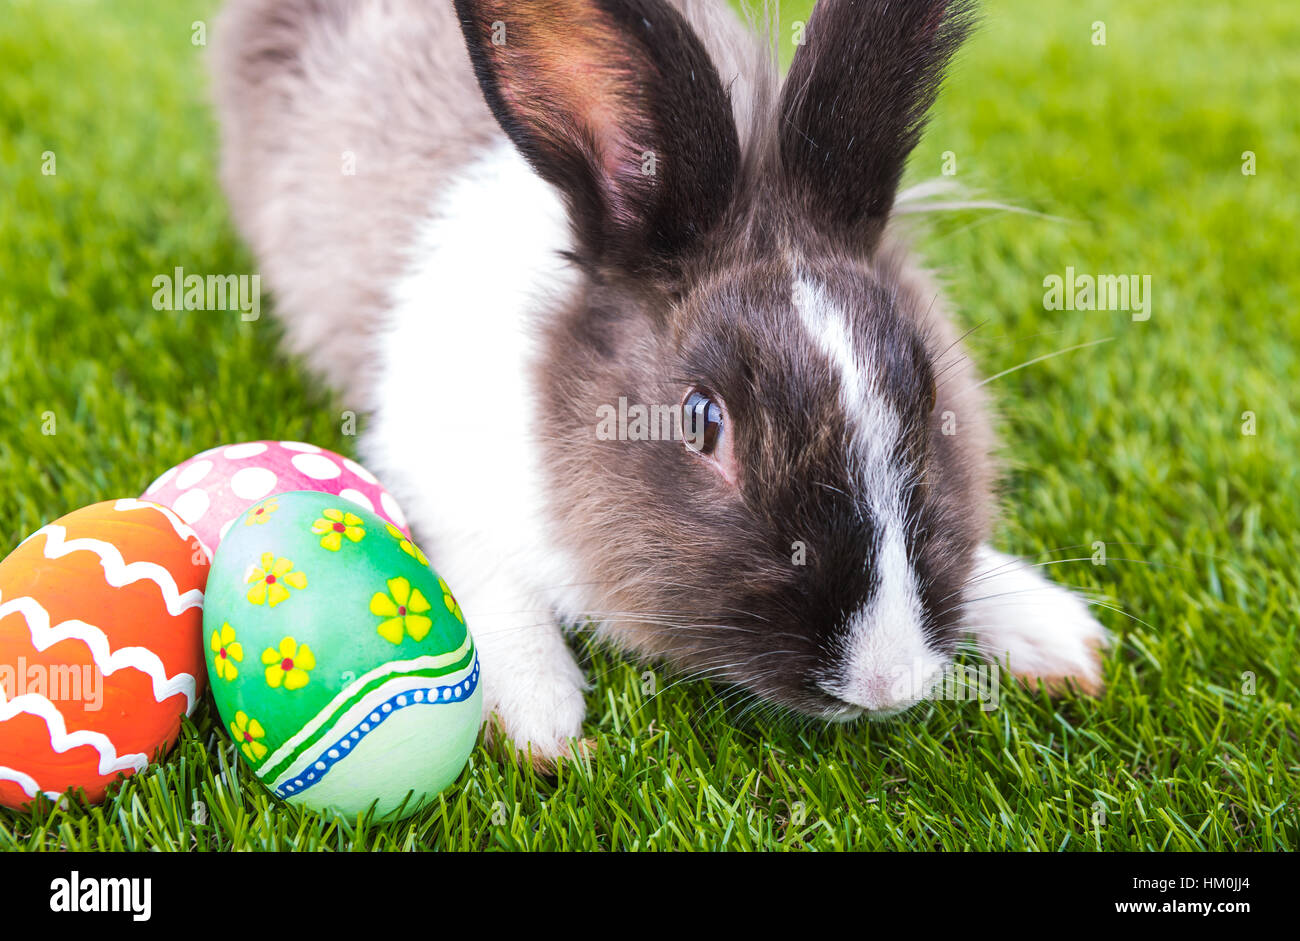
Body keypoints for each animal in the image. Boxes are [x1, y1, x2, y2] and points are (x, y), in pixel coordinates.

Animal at [213, 0, 1109, 765]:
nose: (886, 681)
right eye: (703, 423)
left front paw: (1060, 636)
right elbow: (482, 573)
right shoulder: (430, 462)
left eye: (926, 395)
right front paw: (538, 717)